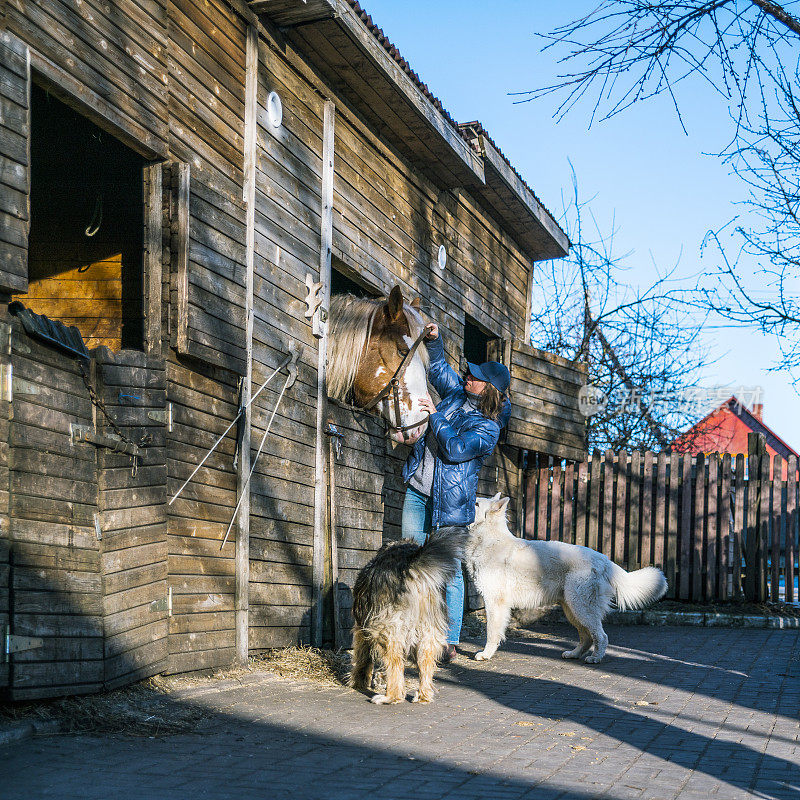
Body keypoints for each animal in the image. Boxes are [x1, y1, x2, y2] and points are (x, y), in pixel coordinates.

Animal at [346, 528, 466, 704]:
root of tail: (411, 566)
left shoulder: (362, 627)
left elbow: (363, 657)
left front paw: (359, 681)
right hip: (429, 630)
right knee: (425, 661)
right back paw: (423, 695)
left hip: (386, 629)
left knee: (395, 663)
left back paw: (390, 697)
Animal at [466, 494, 664, 664]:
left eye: (476, 504)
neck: (489, 539)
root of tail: (604, 559)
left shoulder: (494, 602)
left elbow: (492, 632)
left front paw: (486, 654)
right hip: (572, 608)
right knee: (587, 638)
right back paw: (574, 654)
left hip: (581, 607)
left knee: (601, 636)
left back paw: (595, 658)